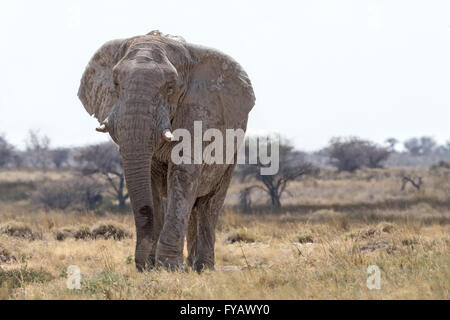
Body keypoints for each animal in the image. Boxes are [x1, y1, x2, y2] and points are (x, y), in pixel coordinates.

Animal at [75, 30, 255, 272]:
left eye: (170, 87)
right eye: (116, 83)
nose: (142, 265)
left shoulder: (198, 111)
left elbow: (183, 173)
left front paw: (169, 268)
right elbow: (149, 180)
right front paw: (152, 267)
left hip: (233, 152)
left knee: (210, 203)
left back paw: (203, 268)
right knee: (194, 206)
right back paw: (191, 266)